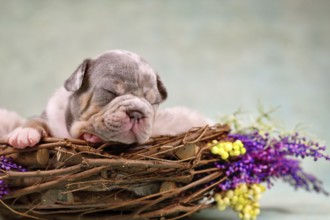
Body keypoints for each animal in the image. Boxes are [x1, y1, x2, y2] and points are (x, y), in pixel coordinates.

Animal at [6, 49, 168, 149]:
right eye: (109, 91)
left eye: (154, 102)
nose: (137, 113)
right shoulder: (49, 116)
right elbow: (37, 120)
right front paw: (24, 132)